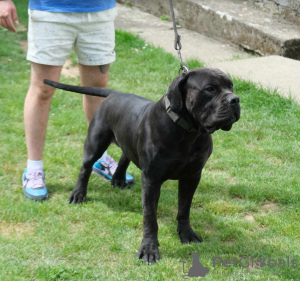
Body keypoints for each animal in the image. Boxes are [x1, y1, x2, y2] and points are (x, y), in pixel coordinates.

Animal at [44, 67, 239, 262]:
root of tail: (115, 93)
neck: (188, 132)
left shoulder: (192, 176)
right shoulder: (151, 180)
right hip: (95, 143)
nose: (235, 99)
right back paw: (78, 194)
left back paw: (118, 179)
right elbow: (150, 217)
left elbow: (184, 208)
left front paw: (186, 234)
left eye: (231, 86)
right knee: (85, 168)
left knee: (125, 156)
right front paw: (149, 249)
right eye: (209, 89)